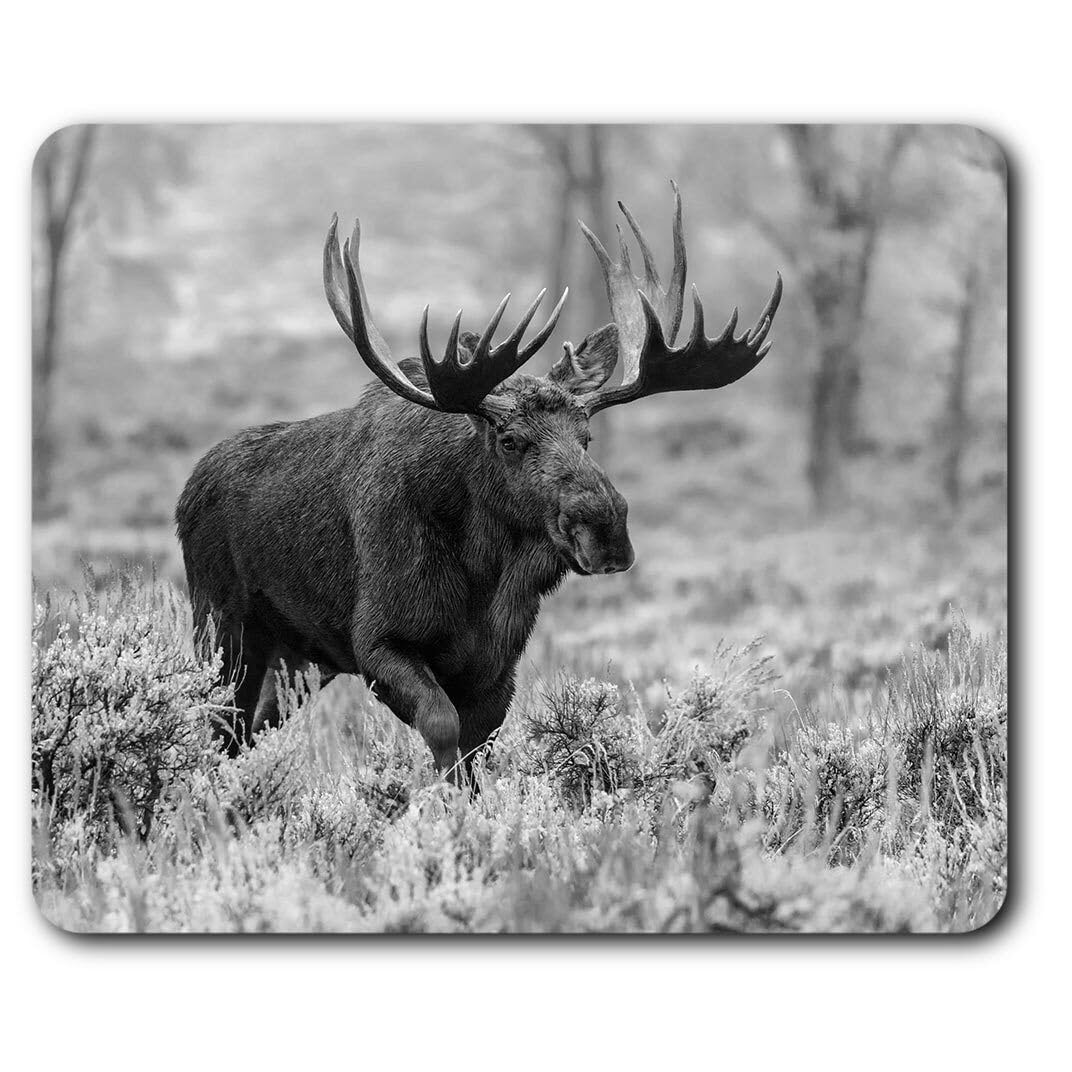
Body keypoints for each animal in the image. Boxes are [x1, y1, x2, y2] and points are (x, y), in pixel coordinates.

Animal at [176, 182, 781, 776]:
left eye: (587, 436)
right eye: (510, 441)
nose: (606, 530)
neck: (483, 577)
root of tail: (187, 491)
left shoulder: (496, 667)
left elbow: (476, 753)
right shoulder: (377, 640)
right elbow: (443, 732)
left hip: (299, 660)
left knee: (245, 732)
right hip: (224, 629)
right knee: (217, 727)